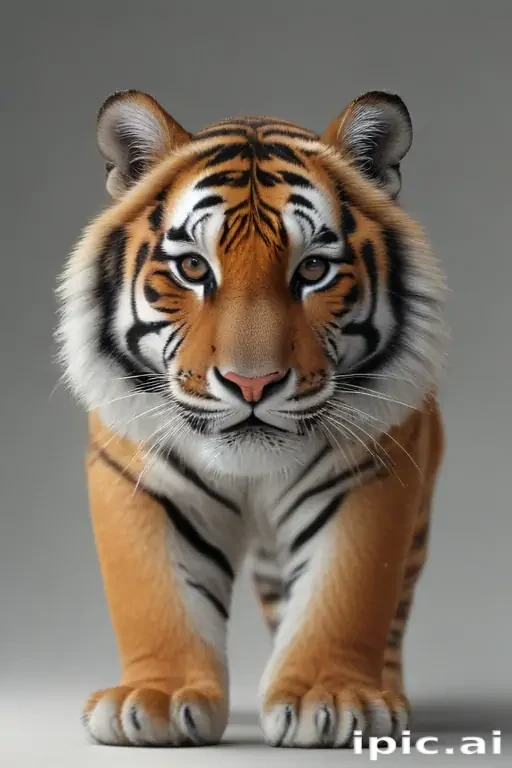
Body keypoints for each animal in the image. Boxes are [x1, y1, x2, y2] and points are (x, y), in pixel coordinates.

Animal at [56, 89, 447, 748]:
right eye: (193, 268)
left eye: (313, 271)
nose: (252, 383)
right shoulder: (135, 476)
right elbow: (154, 598)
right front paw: (156, 700)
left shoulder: (369, 476)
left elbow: (346, 596)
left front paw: (327, 698)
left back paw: (385, 695)